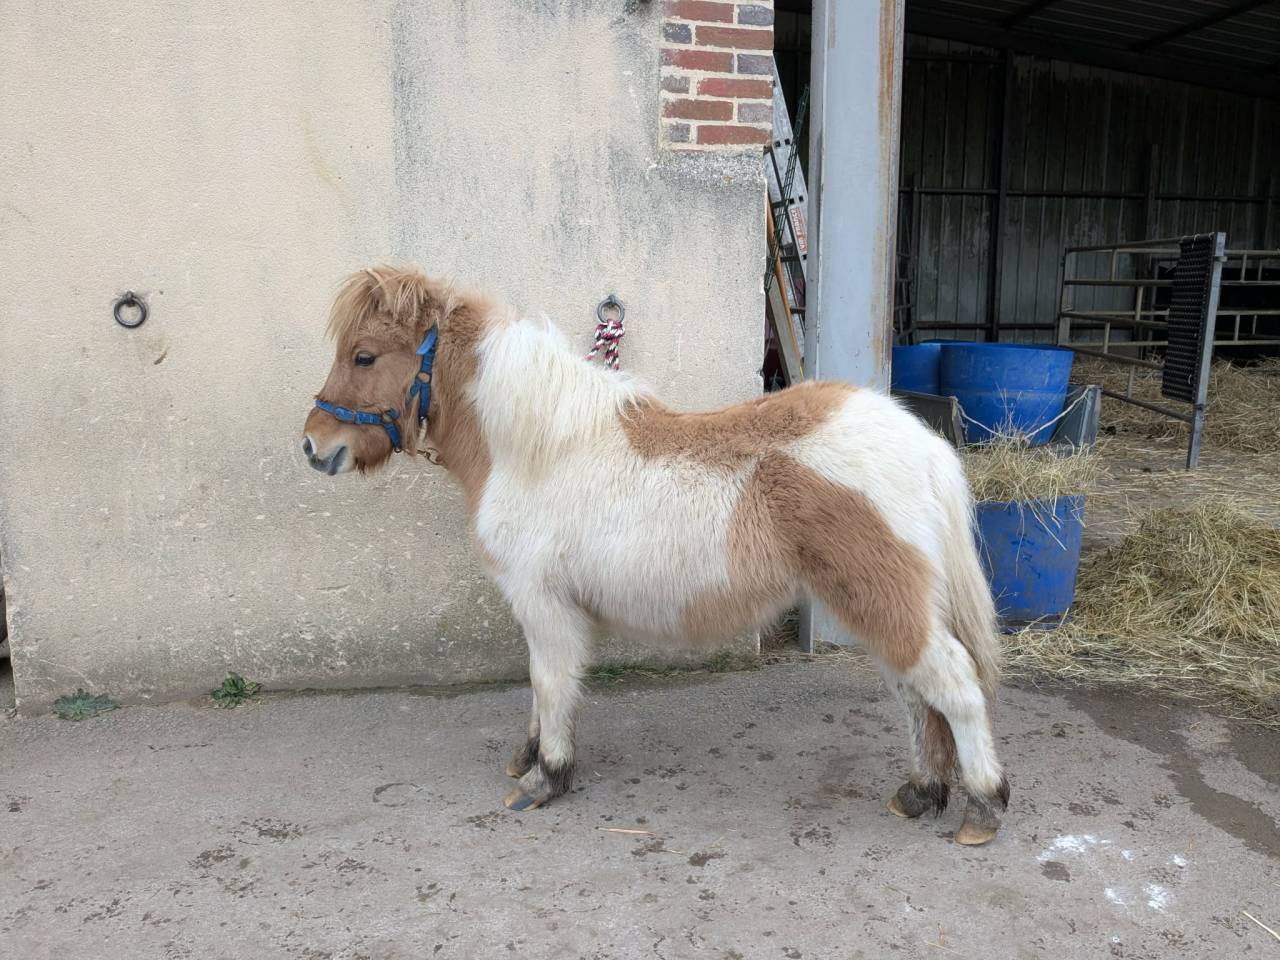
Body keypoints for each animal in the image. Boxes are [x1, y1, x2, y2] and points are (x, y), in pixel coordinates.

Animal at [301, 265, 1009, 845]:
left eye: (364, 356)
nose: (313, 445)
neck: (538, 449)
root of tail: (923, 446)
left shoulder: (544, 602)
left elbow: (550, 683)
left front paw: (545, 777)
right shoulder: (542, 608)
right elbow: (540, 685)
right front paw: (531, 755)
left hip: (884, 599)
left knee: (954, 685)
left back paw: (982, 805)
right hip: (881, 603)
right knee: (916, 694)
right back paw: (920, 793)